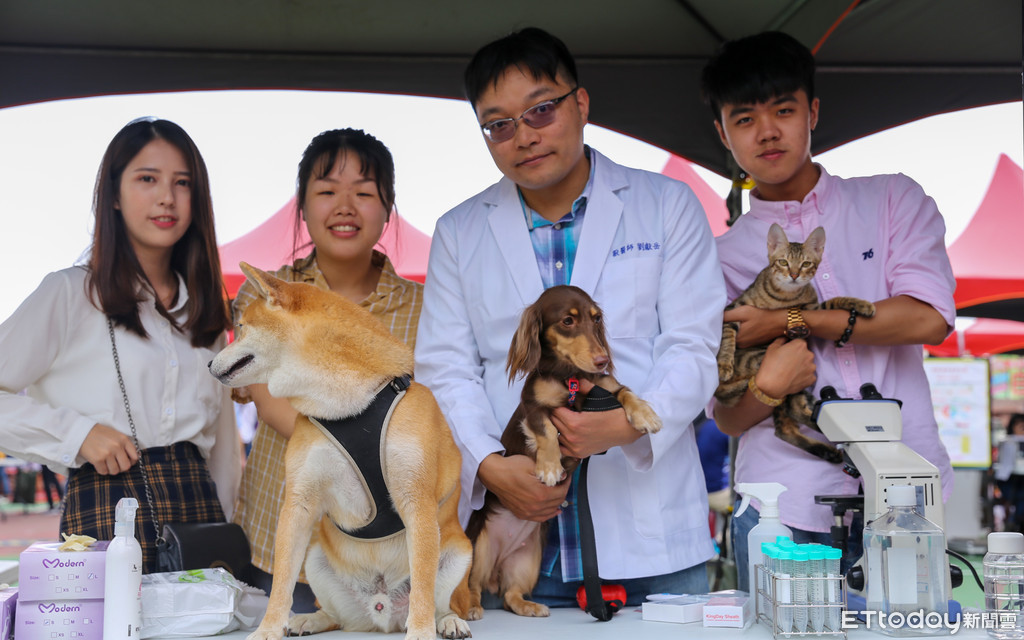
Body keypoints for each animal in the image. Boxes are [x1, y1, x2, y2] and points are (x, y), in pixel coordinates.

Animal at [716, 222, 876, 460]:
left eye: (806, 264)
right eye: (783, 262)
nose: (793, 274)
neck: (784, 297)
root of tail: (721, 393)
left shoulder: (814, 309)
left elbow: (835, 302)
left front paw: (862, 304)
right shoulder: (732, 311)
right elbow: (727, 336)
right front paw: (723, 364)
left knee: (787, 422)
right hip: (772, 367)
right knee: (789, 418)